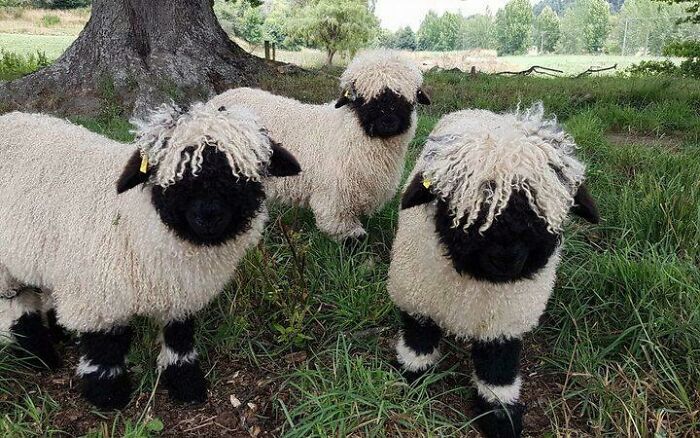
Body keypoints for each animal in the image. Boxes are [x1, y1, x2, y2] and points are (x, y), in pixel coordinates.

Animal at [0, 103, 300, 410]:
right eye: (174, 174)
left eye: (242, 174)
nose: (208, 216)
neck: (135, 221)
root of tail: (9, 117)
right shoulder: (97, 297)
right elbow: (104, 348)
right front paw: (107, 394)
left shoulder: (179, 292)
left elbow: (179, 337)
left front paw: (186, 383)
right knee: (17, 306)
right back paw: (38, 356)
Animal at [387, 103, 599, 438]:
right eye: (462, 204)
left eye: (540, 208)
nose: (507, 258)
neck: (476, 283)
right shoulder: (415, 295)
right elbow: (418, 338)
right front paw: (413, 377)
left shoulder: (506, 319)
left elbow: (498, 366)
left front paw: (501, 416)